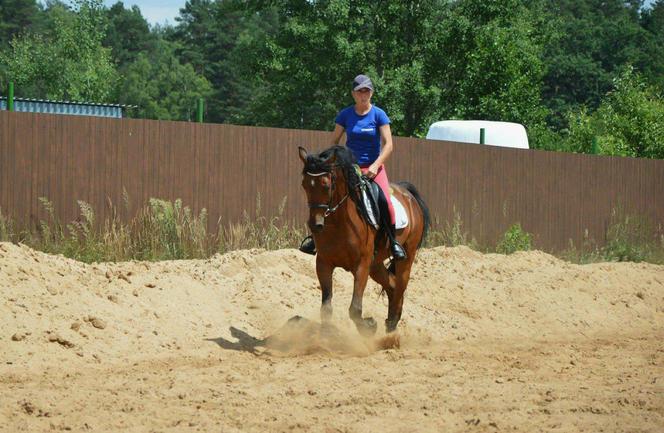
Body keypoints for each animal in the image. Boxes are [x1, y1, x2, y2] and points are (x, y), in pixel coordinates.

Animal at [296, 145, 430, 334]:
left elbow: (354, 309)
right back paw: (391, 322)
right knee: (392, 285)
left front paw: (369, 326)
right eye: (305, 185)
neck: (340, 222)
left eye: (326, 185)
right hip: (375, 264)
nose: (316, 225)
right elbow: (326, 309)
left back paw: (391, 328)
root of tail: (408, 194)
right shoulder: (323, 263)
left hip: (405, 258)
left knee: (400, 286)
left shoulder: (362, 264)